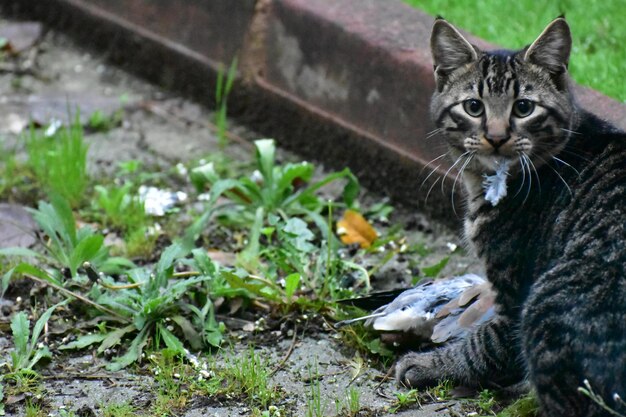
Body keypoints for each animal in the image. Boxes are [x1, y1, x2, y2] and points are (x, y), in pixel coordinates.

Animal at [394, 17, 624, 416]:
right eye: (473, 107)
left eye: (524, 108)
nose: (497, 136)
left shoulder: (513, 299)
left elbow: (483, 346)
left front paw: (428, 364)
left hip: (544, 304)